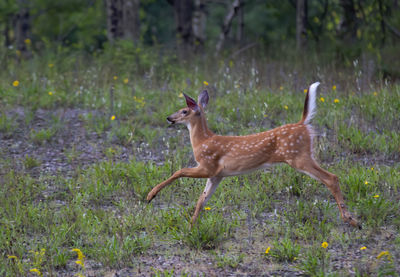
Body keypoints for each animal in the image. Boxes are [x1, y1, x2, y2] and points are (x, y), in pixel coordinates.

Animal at [146, 82, 360, 229]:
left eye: (184, 110)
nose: (169, 118)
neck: (202, 141)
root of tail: (303, 124)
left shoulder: (209, 165)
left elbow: (179, 171)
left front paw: (150, 195)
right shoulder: (217, 175)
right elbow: (202, 199)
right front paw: (191, 226)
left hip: (298, 156)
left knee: (331, 177)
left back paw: (351, 220)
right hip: (302, 155)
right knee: (332, 177)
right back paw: (353, 219)